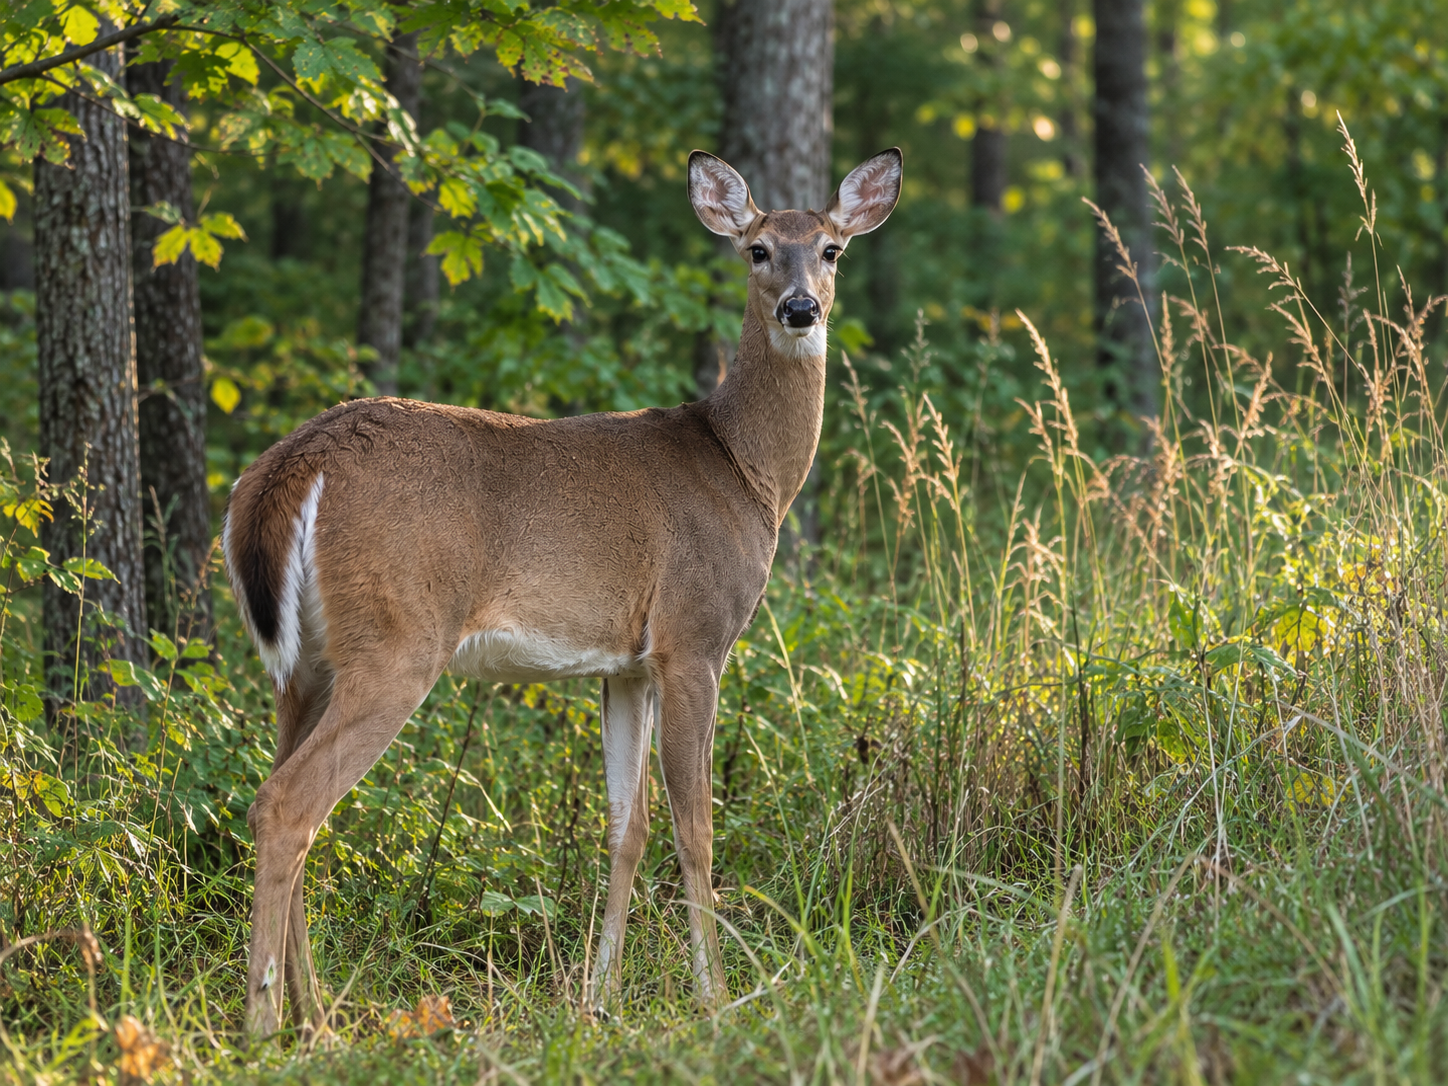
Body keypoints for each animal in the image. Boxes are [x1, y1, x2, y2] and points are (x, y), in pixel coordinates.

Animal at [222, 147, 902, 1037]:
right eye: (757, 249)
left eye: (832, 250)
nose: (800, 309)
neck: (743, 469)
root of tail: (294, 462)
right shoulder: (693, 638)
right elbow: (696, 827)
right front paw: (715, 996)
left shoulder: (625, 666)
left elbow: (627, 827)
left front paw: (597, 996)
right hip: (397, 639)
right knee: (287, 805)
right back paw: (270, 1027)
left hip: (305, 664)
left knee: (290, 797)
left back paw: (316, 1014)